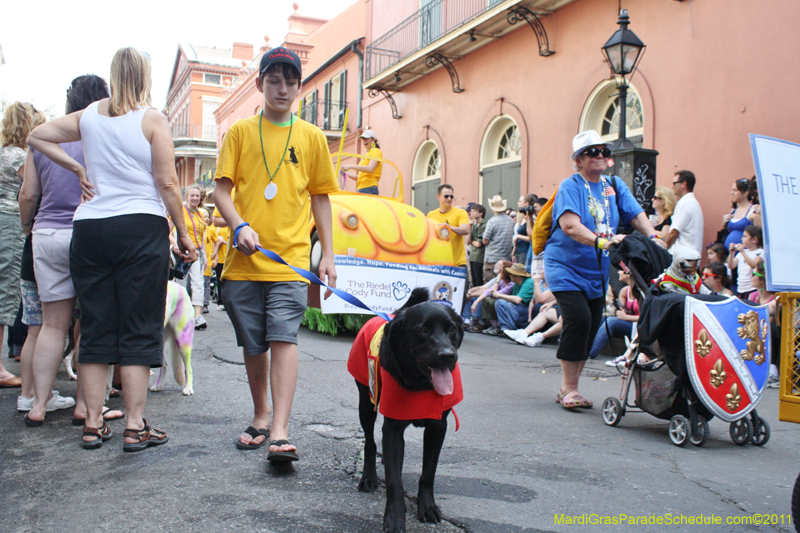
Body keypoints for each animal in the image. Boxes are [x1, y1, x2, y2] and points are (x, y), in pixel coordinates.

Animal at [352, 288, 462, 532]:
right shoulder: (392, 429)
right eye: (422, 330)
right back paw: (369, 477)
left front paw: (427, 507)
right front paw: (394, 518)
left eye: (452, 329)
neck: (421, 384)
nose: (447, 355)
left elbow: (428, 473)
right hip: (366, 403)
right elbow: (394, 480)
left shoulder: (438, 427)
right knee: (370, 442)